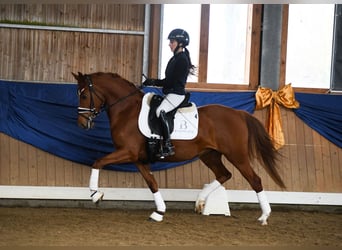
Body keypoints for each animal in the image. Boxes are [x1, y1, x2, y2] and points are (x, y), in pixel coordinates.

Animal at [73, 71, 286, 226]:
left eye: (84, 95)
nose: (82, 124)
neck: (127, 110)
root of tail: (239, 113)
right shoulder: (138, 158)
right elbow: (152, 183)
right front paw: (159, 212)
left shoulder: (128, 152)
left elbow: (98, 161)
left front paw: (95, 194)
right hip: (209, 155)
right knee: (224, 174)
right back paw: (200, 201)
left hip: (237, 155)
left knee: (255, 180)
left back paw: (264, 216)